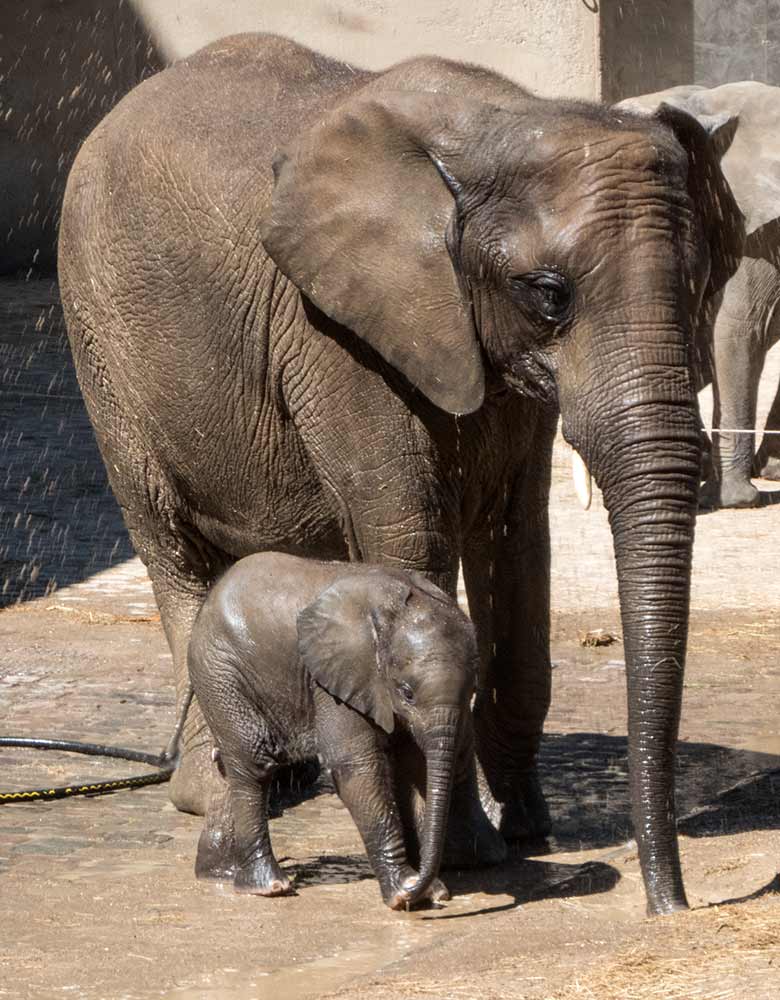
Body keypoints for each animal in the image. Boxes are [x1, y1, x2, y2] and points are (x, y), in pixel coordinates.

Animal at [190, 552, 482, 912]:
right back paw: (268, 886)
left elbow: (415, 769)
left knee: (230, 763)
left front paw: (429, 891)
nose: (422, 888)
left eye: (472, 690)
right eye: (407, 693)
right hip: (220, 668)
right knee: (254, 760)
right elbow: (355, 765)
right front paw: (403, 893)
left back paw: (223, 873)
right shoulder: (334, 680)